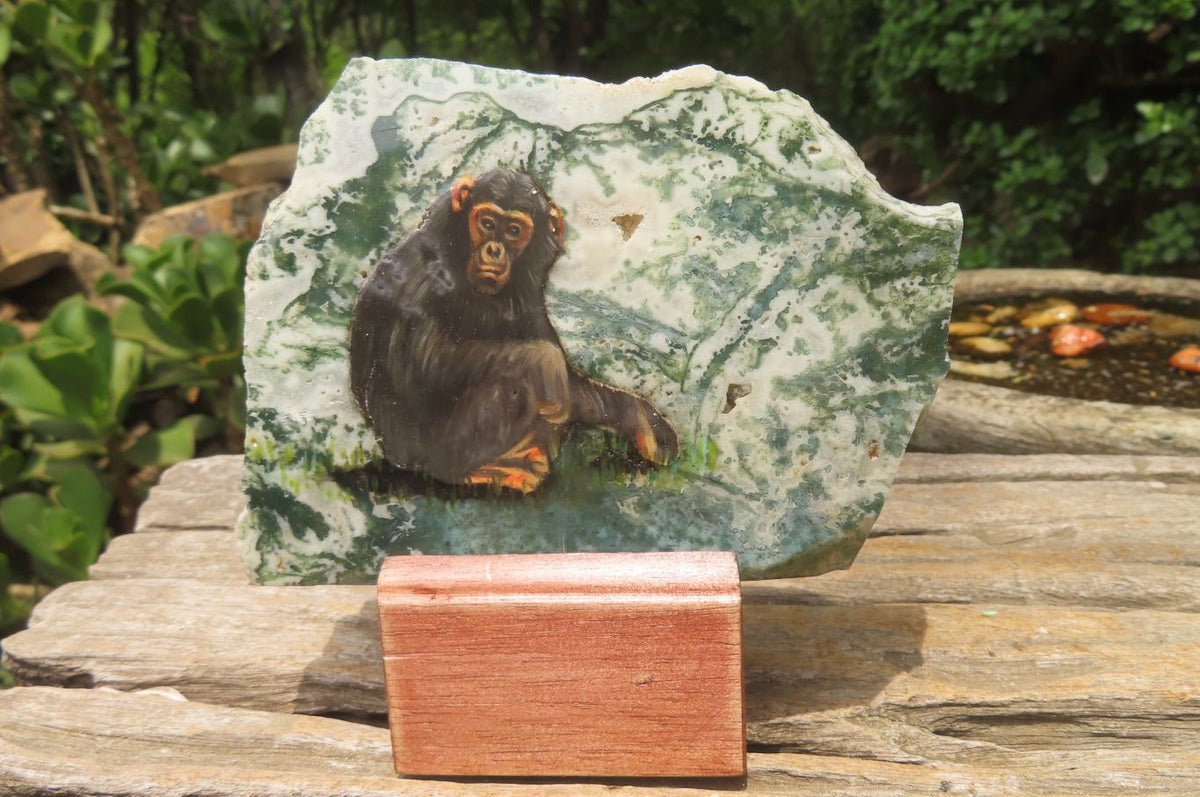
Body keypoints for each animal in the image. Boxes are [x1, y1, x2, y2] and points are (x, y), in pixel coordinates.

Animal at [349, 169, 679, 494]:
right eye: (487, 223)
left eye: (514, 231)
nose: (494, 250)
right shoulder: (423, 273)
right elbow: (423, 364)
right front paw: (545, 363)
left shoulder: (529, 287)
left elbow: (566, 374)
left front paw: (643, 421)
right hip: (431, 451)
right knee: (510, 389)